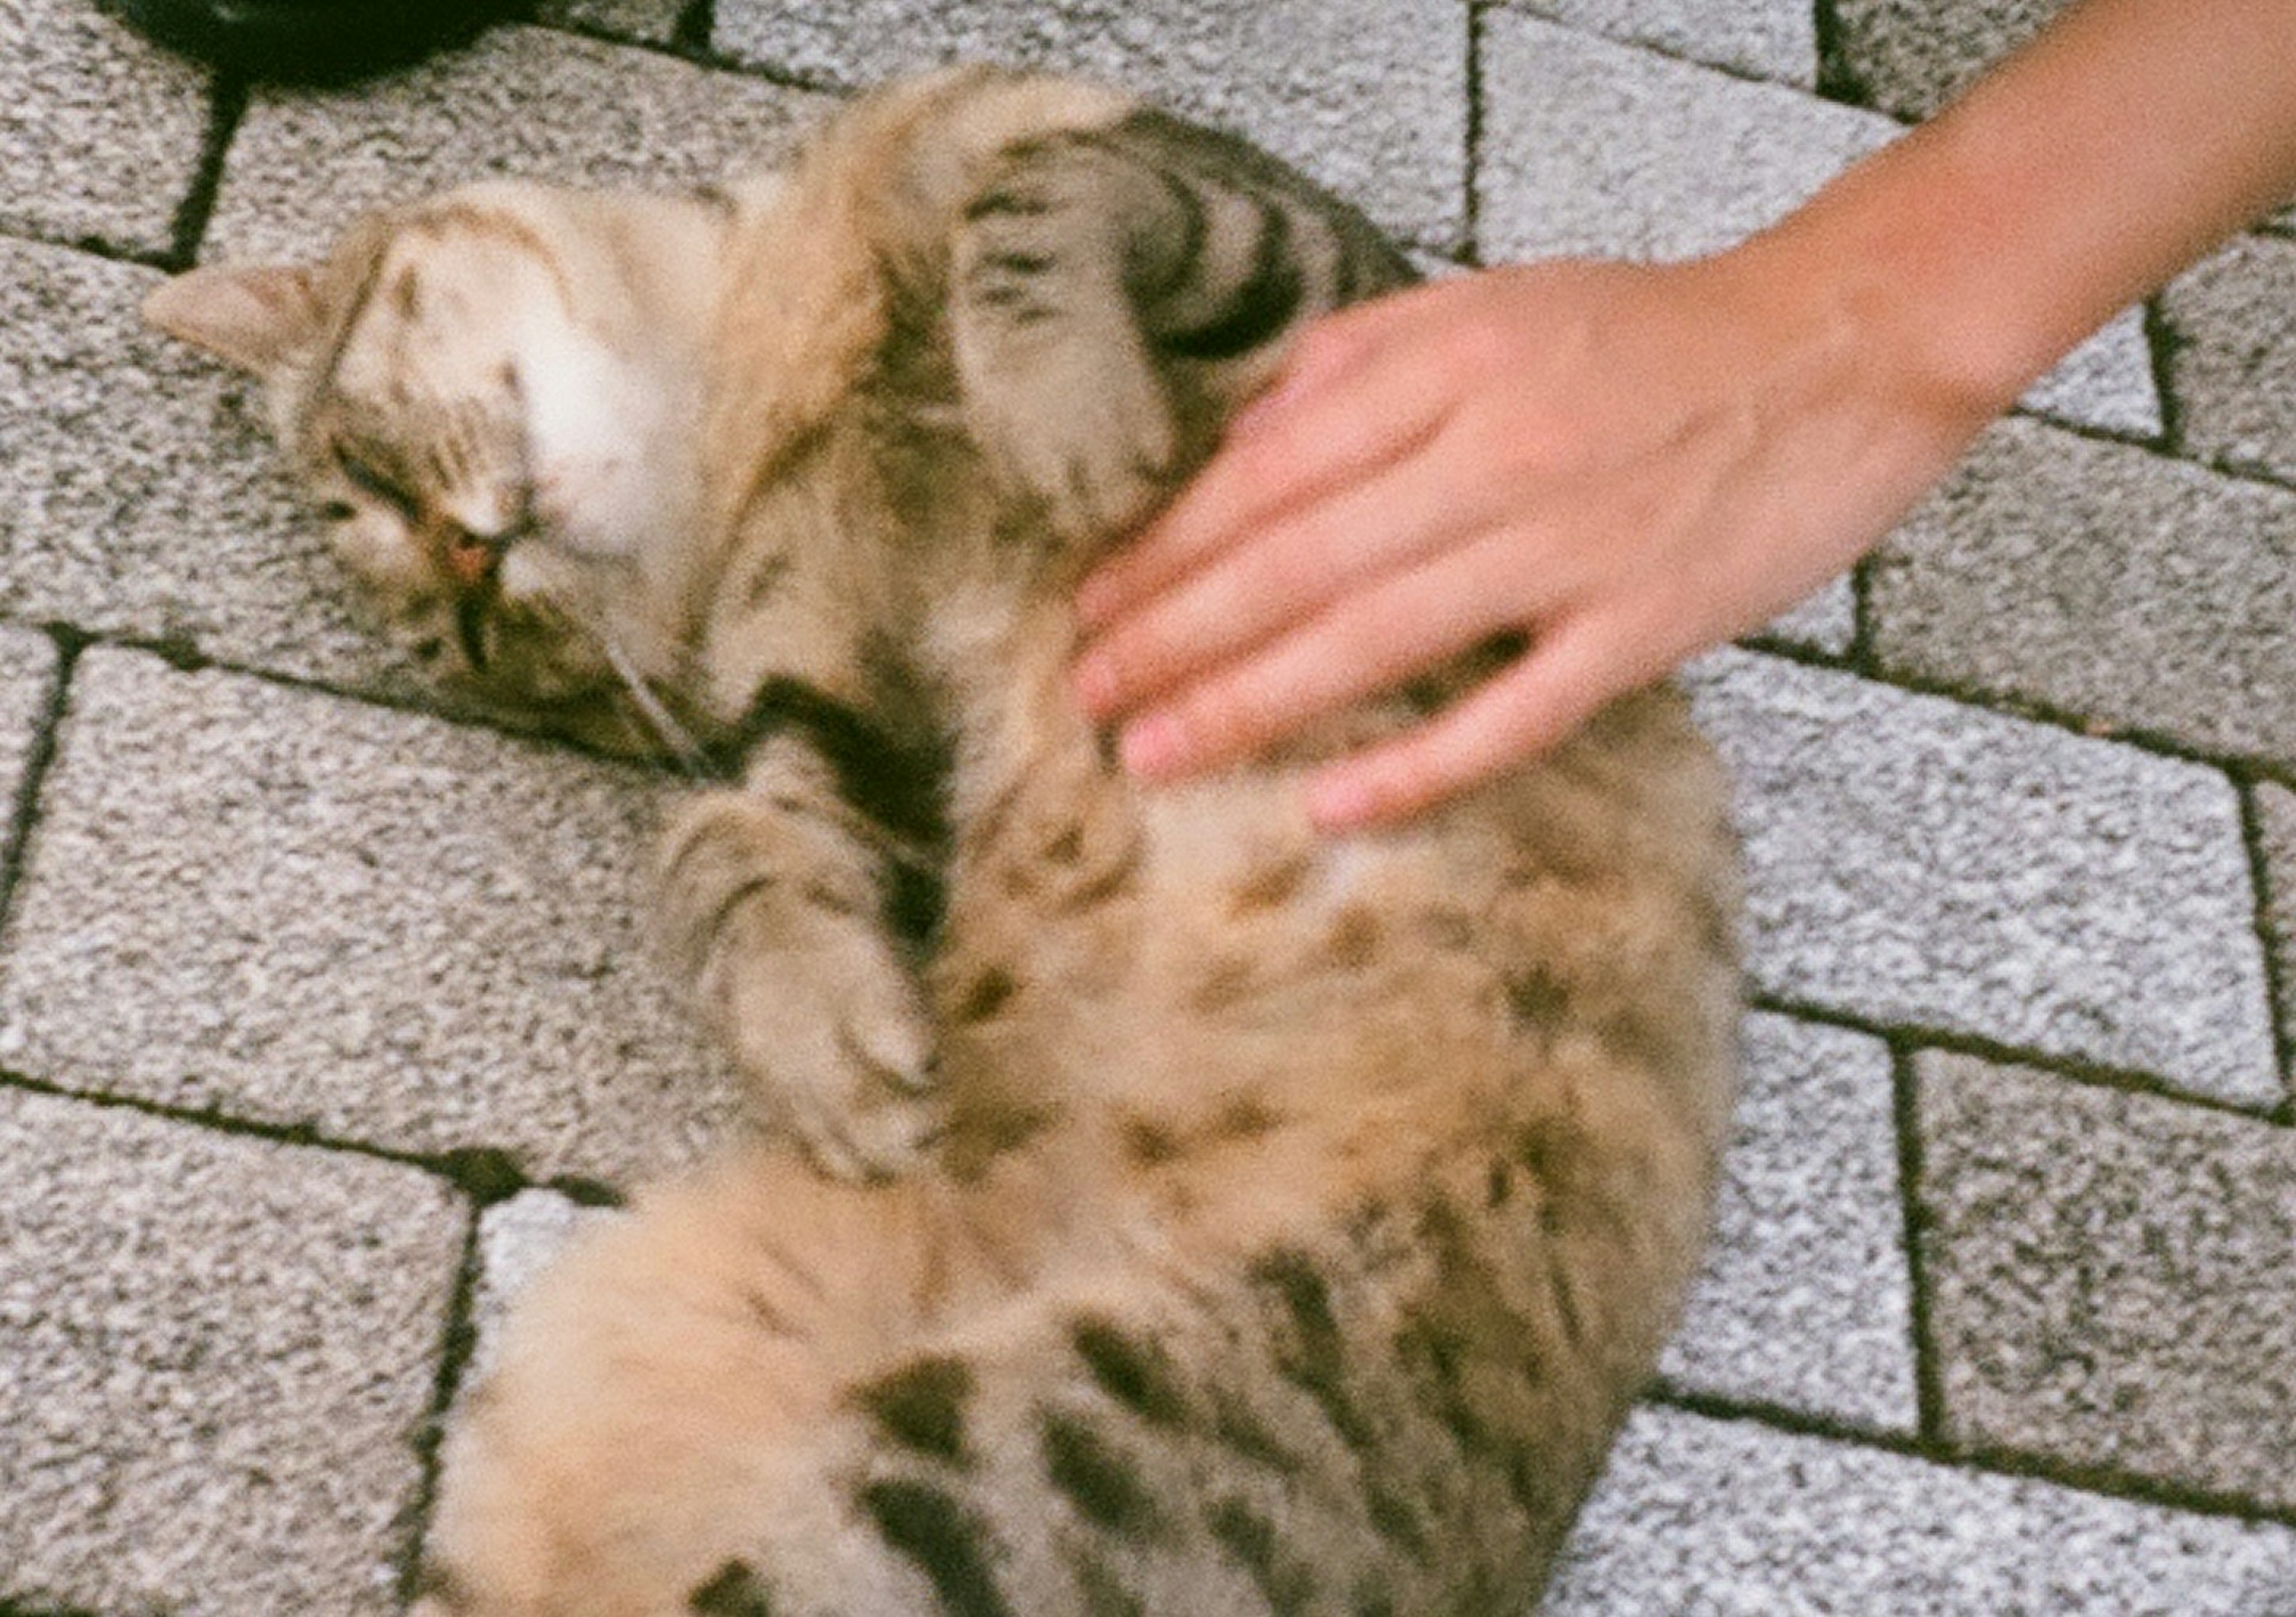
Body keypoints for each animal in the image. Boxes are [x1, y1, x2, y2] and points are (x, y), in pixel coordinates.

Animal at [148, 66, 1736, 1617]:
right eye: (463, 647)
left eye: (367, 474)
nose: (470, 576)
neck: (783, 386)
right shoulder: (851, 723)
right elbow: (728, 837)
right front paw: (828, 1046)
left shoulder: (1333, 311)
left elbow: (1033, 192)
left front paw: (1058, 415)